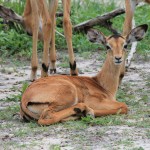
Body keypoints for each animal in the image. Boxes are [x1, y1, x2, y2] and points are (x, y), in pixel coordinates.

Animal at [19, 24, 148, 125]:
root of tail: (24, 99)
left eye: (125, 45)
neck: (102, 84)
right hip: (68, 93)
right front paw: (89, 112)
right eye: (107, 46)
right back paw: (83, 111)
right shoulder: (95, 101)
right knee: (46, 117)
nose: (118, 58)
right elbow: (124, 106)